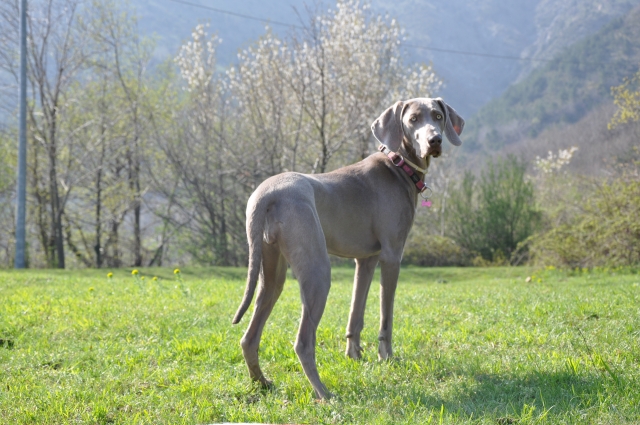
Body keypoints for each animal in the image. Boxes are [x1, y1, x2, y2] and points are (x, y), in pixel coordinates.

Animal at [232, 97, 464, 398]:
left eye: (437, 116)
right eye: (413, 119)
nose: (434, 139)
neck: (398, 166)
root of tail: (264, 194)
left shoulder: (366, 259)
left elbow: (356, 312)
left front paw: (354, 355)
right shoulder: (392, 256)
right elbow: (386, 316)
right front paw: (386, 357)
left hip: (270, 271)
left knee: (249, 337)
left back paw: (262, 382)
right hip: (318, 271)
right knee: (302, 341)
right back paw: (324, 394)